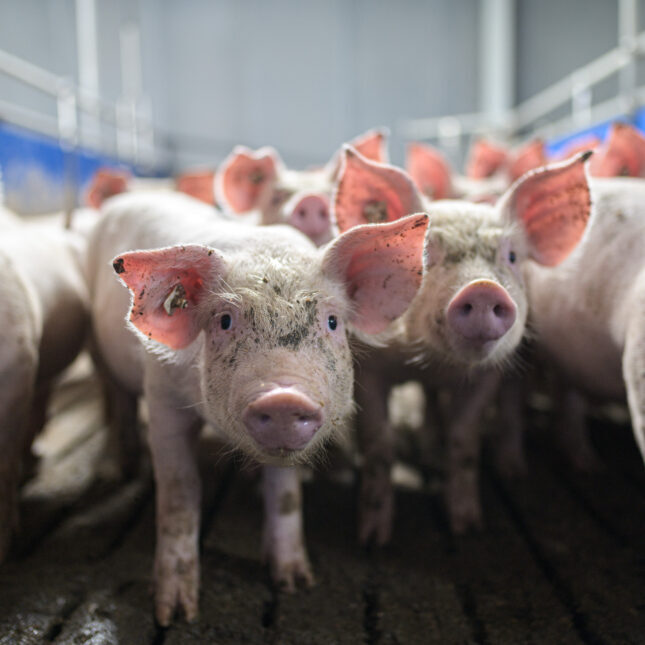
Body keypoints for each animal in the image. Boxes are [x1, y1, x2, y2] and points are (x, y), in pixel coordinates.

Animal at [87, 191, 427, 624]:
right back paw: (122, 467)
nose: (284, 397)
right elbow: (180, 491)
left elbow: (285, 492)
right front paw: (175, 613)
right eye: (225, 321)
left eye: (333, 321)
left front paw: (296, 583)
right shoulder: (162, 394)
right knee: (118, 400)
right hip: (99, 351)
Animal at [334, 146, 592, 541]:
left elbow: (464, 439)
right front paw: (372, 537)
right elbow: (379, 444)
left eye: (511, 256)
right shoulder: (371, 369)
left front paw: (468, 527)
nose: (482, 288)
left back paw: (512, 469)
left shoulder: (486, 377)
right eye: (426, 255)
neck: (435, 362)